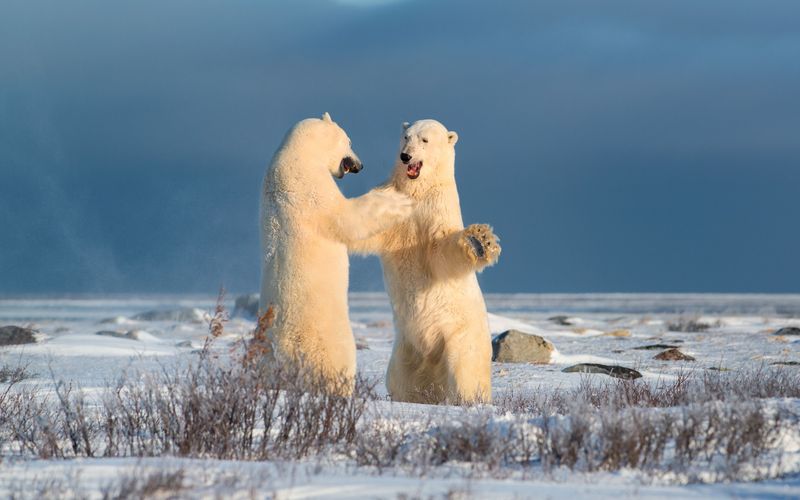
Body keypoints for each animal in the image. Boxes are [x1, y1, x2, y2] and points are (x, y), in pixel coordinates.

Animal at [260, 114, 412, 394]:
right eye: (349, 141)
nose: (360, 165)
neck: (297, 154)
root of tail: (282, 354)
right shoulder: (310, 187)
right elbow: (348, 219)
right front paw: (397, 200)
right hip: (328, 338)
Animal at [350, 119, 500, 404]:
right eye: (406, 137)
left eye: (425, 140)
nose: (405, 156)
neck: (417, 191)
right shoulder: (395, 203)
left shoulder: (437, 209)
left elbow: (441, 252)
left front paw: (479, 241)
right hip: (404, 350)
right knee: (400, 380)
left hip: (460, 337)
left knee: (465, 374)